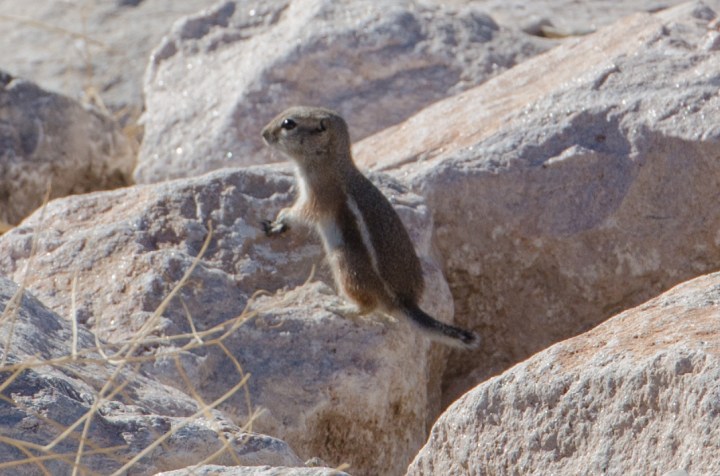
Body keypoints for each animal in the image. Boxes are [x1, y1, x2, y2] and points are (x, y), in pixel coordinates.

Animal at [261, 106, 479, 349]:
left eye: (288, 124)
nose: (263, 134)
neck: (330, 160)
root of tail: (404, 303)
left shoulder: (319, 195)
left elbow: (303, 214)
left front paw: (282, 218)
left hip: (345, 263)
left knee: (368, 305)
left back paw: (341, 308)